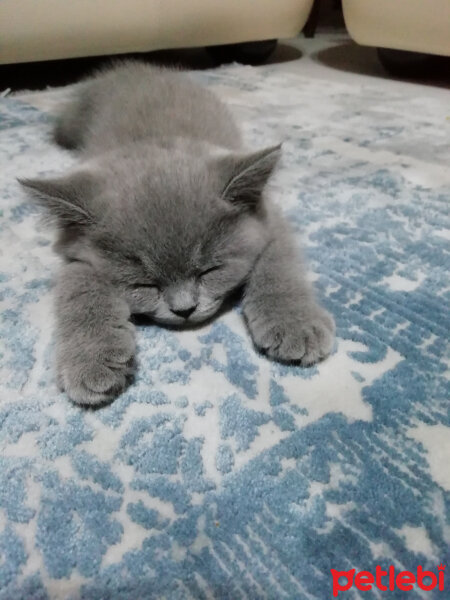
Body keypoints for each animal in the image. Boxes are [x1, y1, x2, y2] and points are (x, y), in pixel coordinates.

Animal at [20, 61, 334, 406]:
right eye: (144, 284)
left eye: (210, 271)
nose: (184, 310)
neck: (154, 137)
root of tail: (133, 68)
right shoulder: (76, 253)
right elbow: (79, 289)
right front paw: (92, 359)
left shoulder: (269, 219)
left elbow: (279, 266)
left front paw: (295, 323)